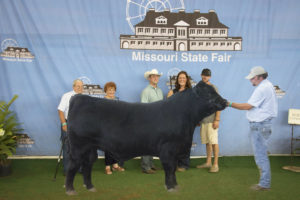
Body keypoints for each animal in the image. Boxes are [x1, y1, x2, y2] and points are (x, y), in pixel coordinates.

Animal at [64, 81, 226, 194]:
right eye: (208, 94)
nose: (224, 101)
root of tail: (80, 98)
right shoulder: (168, 149)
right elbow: (169, 169)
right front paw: (171, 187)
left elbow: (173, 170)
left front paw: (175, 186)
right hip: (78, 146)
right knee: (73, 165)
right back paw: (70, 190)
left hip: (90, 148)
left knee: (87, 165)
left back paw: (90, 187)